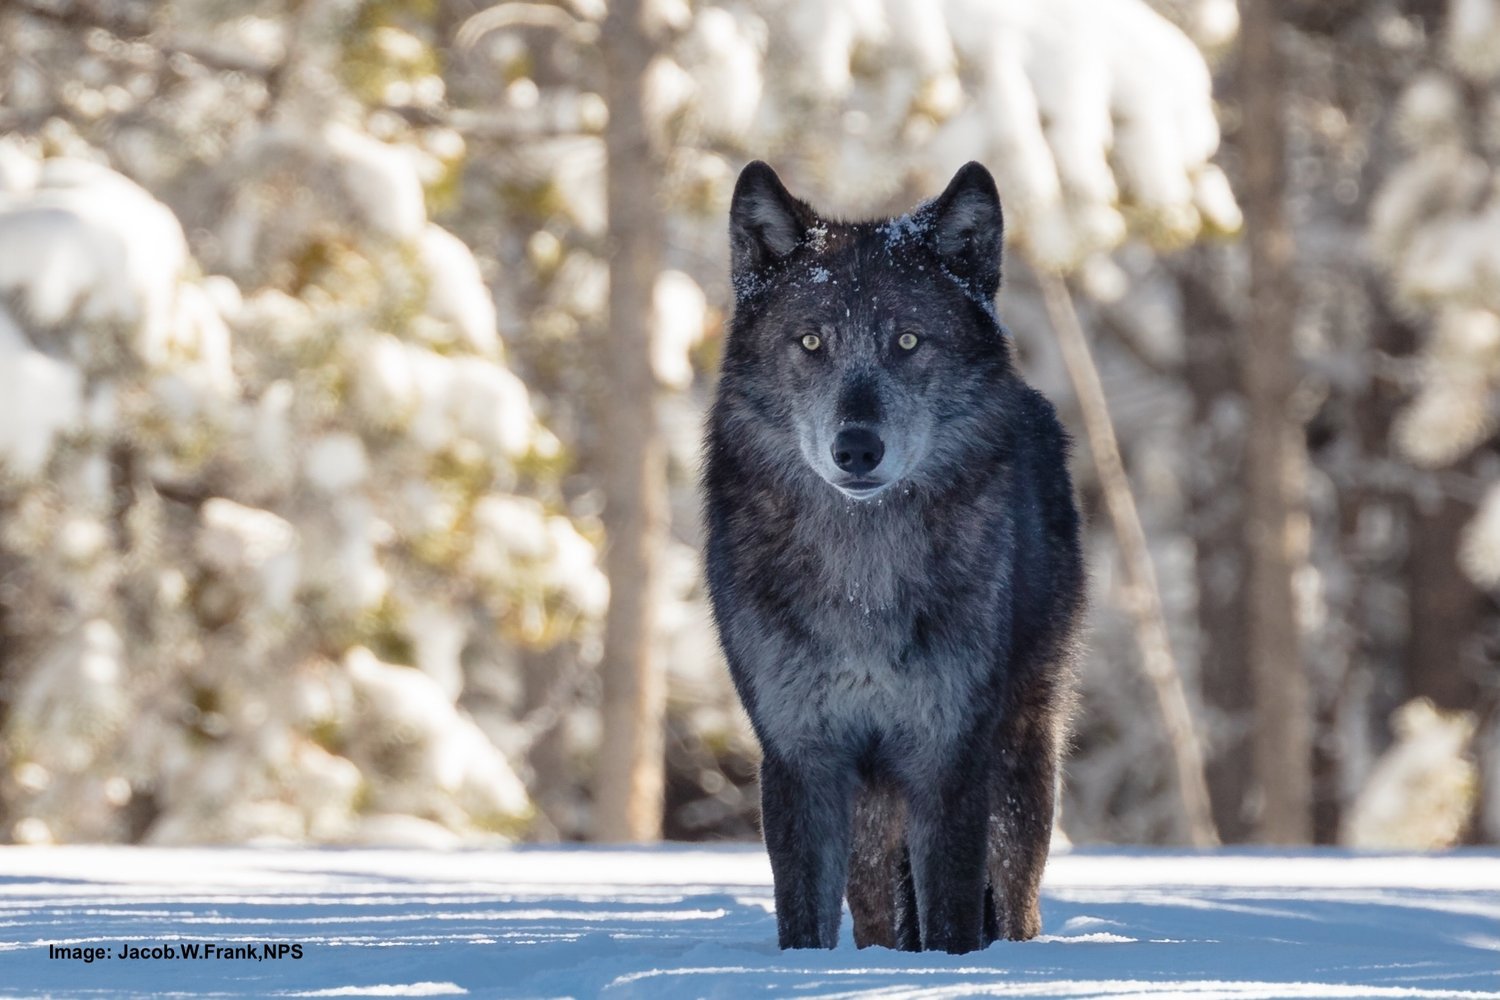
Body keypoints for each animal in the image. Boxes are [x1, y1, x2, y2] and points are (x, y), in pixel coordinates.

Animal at [701, 161, 1084, 954]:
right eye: (811, 342)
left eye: (908, 340)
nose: (856, 447)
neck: (864, 580)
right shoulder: (803, 757)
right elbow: (803, 922)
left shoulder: (949, 756)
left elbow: (952, 918)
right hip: (875, 815)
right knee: (878, 913)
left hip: (1020, 765)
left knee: (1017, 900)